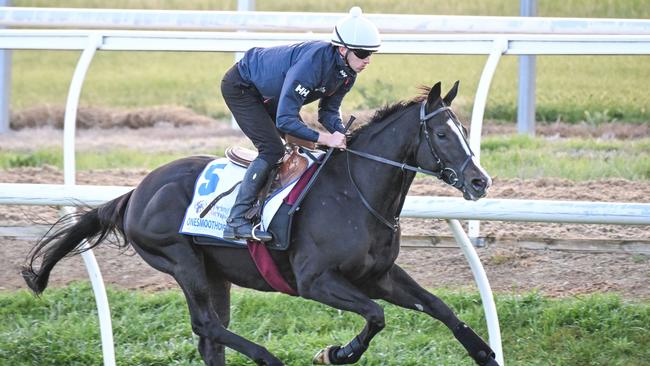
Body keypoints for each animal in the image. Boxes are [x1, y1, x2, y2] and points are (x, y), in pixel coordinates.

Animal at [22, 83, 494, 366]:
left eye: (464, 128)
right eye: (443, 135)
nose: (480, 180)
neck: (354, 193)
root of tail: (136, 192)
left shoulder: (379, 274)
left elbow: (439, 307)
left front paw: (485, 352)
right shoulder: (315, 281)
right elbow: (376, 316)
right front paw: (336, 353)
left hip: (214, 272)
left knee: (210, 337)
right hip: (180, 260)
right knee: (207, 325)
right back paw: (268, 357)